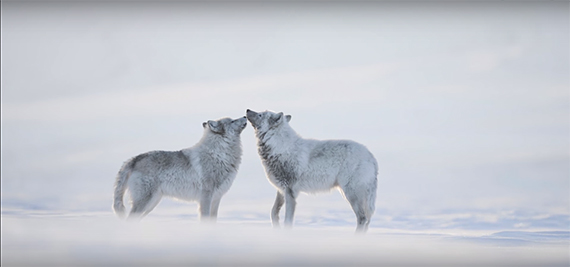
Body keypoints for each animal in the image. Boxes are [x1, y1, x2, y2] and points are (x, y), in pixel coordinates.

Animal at [113, 117, 246, 222]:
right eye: (232, 120)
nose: (245, 115)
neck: (219, 154)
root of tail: (134, 159)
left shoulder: (216, 199)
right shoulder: (206, 197)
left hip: (151, 204)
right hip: (145, 202)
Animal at [245, 110, 374, 233]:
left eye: (260, 114)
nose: (247, 110)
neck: (279, 147)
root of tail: (371, 157)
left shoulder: (290, 193)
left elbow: (287, 221)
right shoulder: (281, 190)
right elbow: (273, 213)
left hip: (351, 194)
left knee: (362, 218)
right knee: (367, 220)